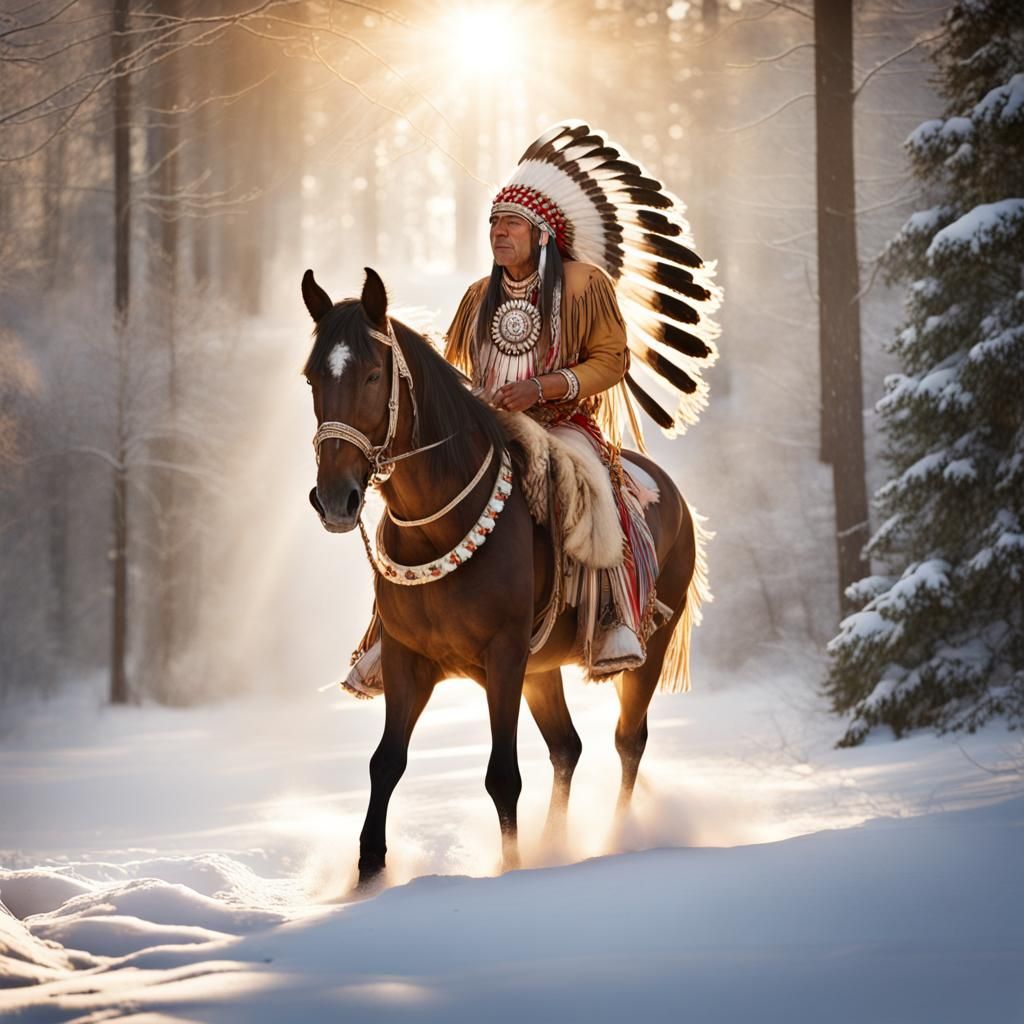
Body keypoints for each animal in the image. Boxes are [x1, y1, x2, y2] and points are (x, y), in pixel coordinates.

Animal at [301, 267, 704, 887]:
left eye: (372, 374)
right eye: (312, 378)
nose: (335, 499)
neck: (439, 526)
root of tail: (672, 494)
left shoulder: (505, 655)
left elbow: (502, 775)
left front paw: (511, 868)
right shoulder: (406, 659)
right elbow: (386, 763)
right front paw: (367, 875)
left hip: (645, 648)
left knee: (627, 742)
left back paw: (618, 835)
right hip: (542, 669)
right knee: (567, 748)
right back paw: (555, 842)